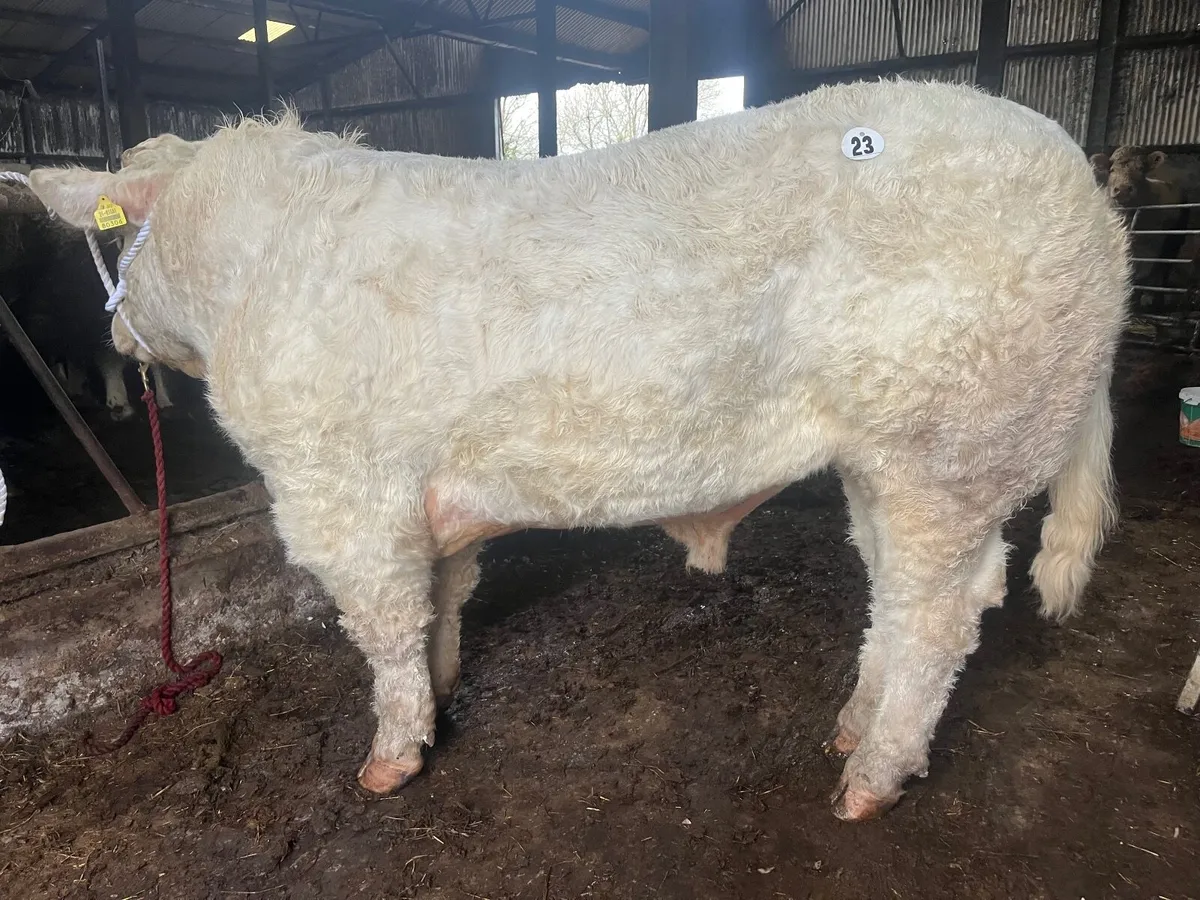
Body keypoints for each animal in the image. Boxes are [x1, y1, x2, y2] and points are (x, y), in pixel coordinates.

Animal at [27, 79, 1130, 822]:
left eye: (114, 241)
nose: (113, 331)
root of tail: (1088, 187)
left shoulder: (336, 485)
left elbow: (382, 625)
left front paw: (388, 762)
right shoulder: (433, 486)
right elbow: (443, 600)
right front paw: (441, 697)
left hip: (952, 447)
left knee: (945, 615)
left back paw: (867, 783)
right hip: (883, 455)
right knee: (896, 605)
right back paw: (847, 732)